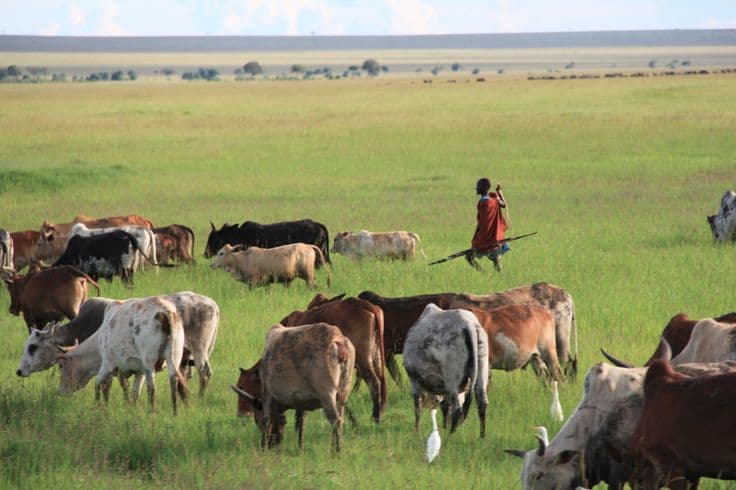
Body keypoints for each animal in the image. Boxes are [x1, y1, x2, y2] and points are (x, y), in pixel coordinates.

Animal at [56, 296, 188, 414]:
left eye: (61, 365)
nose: (60, 393)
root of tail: (165, 311)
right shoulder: (138, 371)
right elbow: (133, 392)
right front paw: (130, 407)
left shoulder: (108, 363)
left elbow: (99, 384)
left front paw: (97, 405)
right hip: (174, 357)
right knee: (173, 381)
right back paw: (174, 412)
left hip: (149, 363)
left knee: (152, 388)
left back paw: (151, 411)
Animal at [231, 323, 355, 452]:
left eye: (256, 418)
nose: (273, 444)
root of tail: (338, 343)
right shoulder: (302, 401)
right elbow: (301, 423)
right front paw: (300, 448)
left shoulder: (267, 394)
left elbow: (267, 419)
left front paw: (263, 447)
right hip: (342, 394)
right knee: (340, 419)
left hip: (327, 394)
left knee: (335, 420)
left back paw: (336, 451)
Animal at [402, 303, 489, 438]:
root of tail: (469, 324)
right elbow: (444, 405)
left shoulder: (414, 380)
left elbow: (418, 407)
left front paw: (417, 429)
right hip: (481, 368)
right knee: (481, 403)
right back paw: (482, 436)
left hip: (451, 378)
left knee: (457, 408)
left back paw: (451, 434)